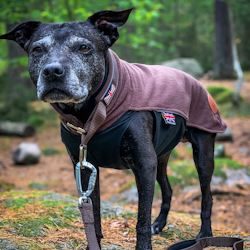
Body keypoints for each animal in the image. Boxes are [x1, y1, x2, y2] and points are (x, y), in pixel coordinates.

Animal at [0, 8, 227, 250]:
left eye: (84, 47)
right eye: (37, 50)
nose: (52, 71)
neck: (93, 113)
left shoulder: (144, 165)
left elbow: (141, 219)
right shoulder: (86, 168)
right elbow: (94, 214)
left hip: (202, 154)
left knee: (207, 196)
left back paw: (205, 234)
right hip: (161, 157)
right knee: (168, 189)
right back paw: (160, 224)